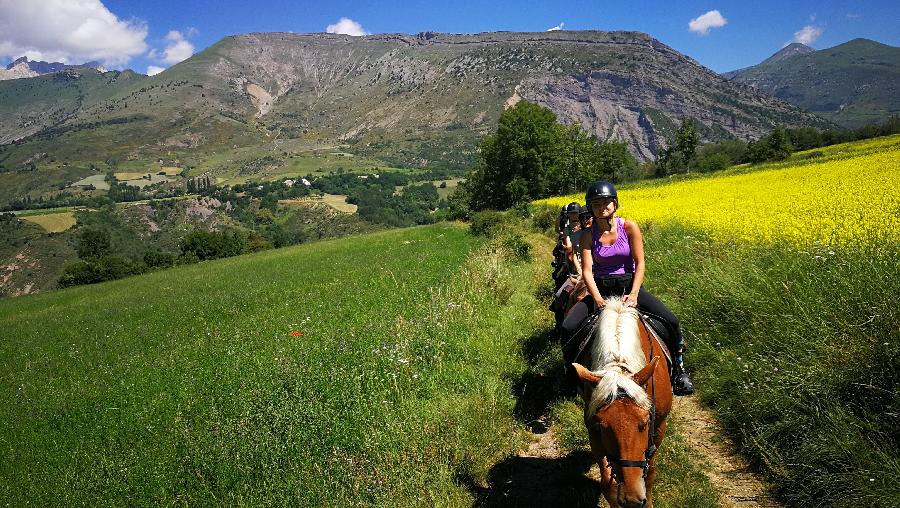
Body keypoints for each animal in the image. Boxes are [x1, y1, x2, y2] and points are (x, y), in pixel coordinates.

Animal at [572, 298, 672, 508]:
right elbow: (607, 483)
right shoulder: (593, 430)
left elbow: (650, 473)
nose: (632, 499)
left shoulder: (659, 427)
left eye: (645, 423)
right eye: (602, 426)